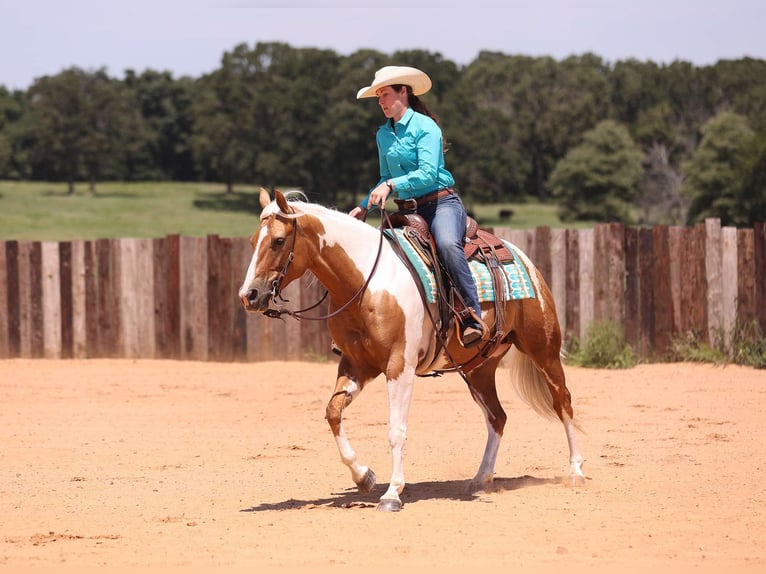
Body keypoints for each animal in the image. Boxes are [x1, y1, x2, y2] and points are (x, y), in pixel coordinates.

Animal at [238, 188, 585, 512]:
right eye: (254, 240)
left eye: (279, 241)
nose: (249, 295)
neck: (367, 283)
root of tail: (523, 258)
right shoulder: (356, 365)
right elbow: (333, 412)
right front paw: (364, 476)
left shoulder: (398, 367)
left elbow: (396, 430)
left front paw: (392, 494)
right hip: (478, 369)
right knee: (497, 417)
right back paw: (481, 478)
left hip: (543, 349)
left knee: (563, 402)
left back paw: (576, 472)